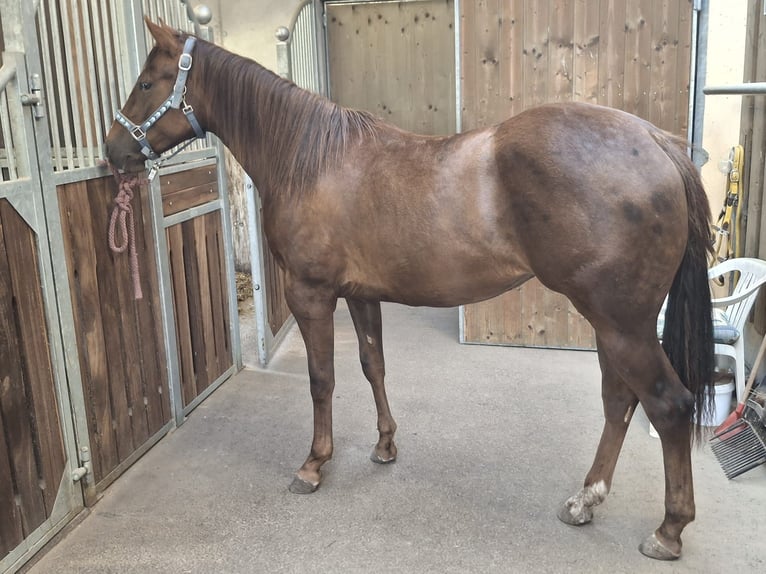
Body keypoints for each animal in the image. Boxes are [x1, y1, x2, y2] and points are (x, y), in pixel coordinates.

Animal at [105, 19, 714, 561]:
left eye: (147, 83)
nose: (113, 152)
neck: (312, 159)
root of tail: (656, 142)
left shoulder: (311, 293)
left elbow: (322, 380)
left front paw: (313, 465)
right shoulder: (360, 293)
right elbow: (373, 365)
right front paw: (384, 445)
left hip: (622, 322)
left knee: (669, 405)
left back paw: (668, 531)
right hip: (613, 323)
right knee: (620, 402)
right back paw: (585, 499)